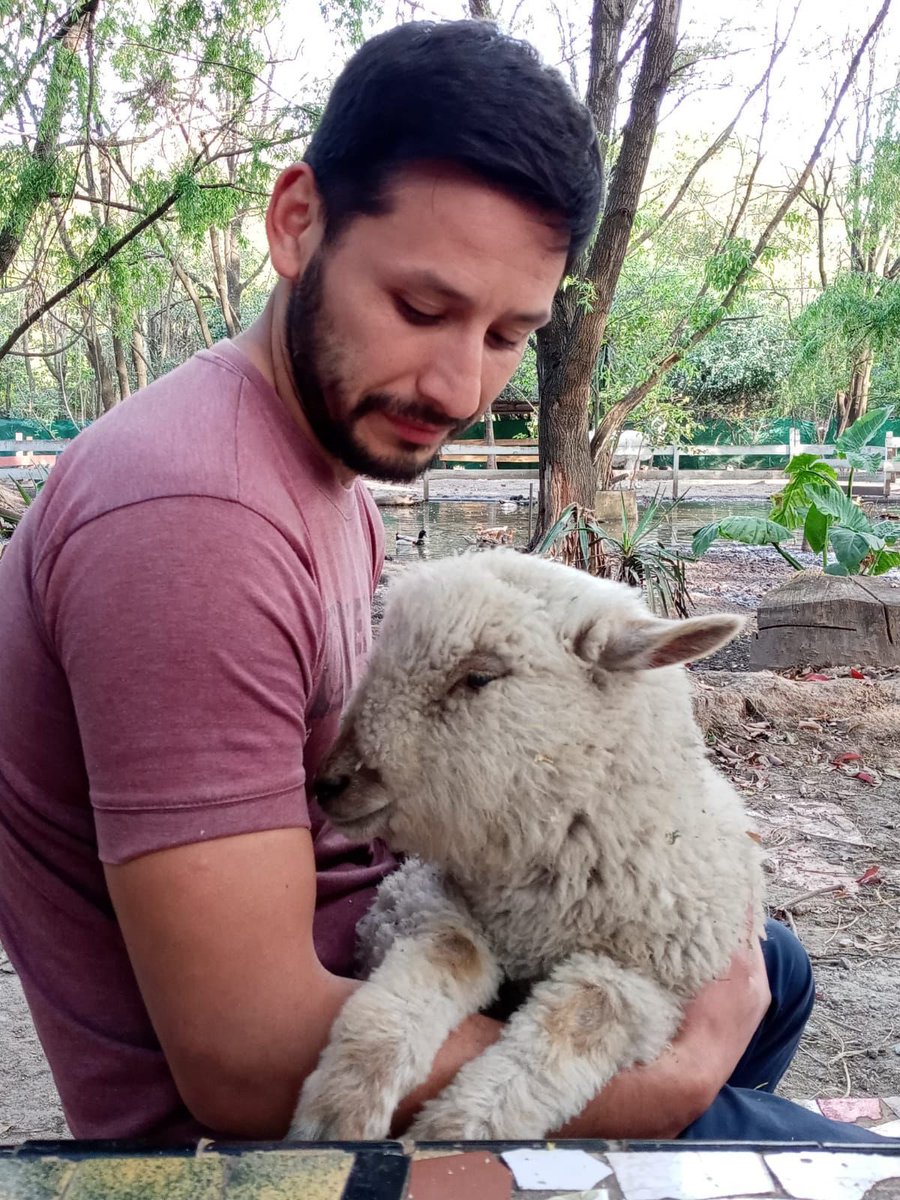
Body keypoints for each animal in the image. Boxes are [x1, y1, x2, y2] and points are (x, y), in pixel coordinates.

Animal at [290, 549, 764, 1142]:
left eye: (479, 676)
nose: (329, 783)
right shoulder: (411, 899)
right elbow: (456, 950)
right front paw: (341, 1104)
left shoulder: (651, 984)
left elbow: (580, 1019)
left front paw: (454, 1133)